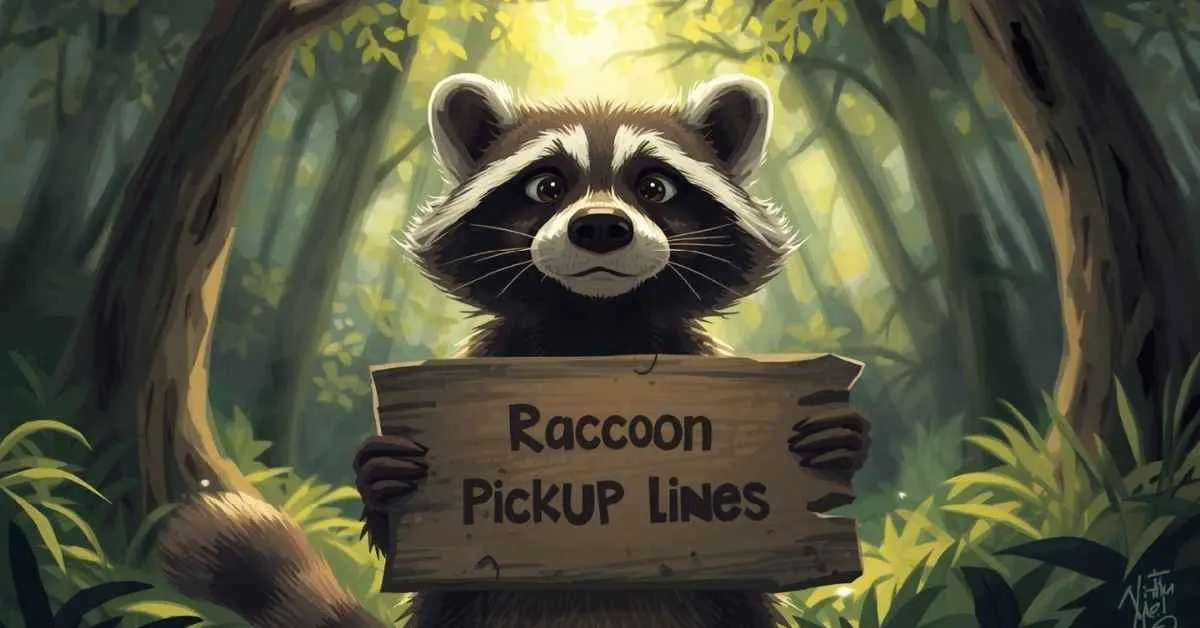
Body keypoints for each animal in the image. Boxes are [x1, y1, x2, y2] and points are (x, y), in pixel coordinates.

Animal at [156, 74, 870, 628]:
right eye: (547, 186)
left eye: (655, 187)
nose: (601, 227)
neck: (594, 324)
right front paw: (382, 473)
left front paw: (838, 438)